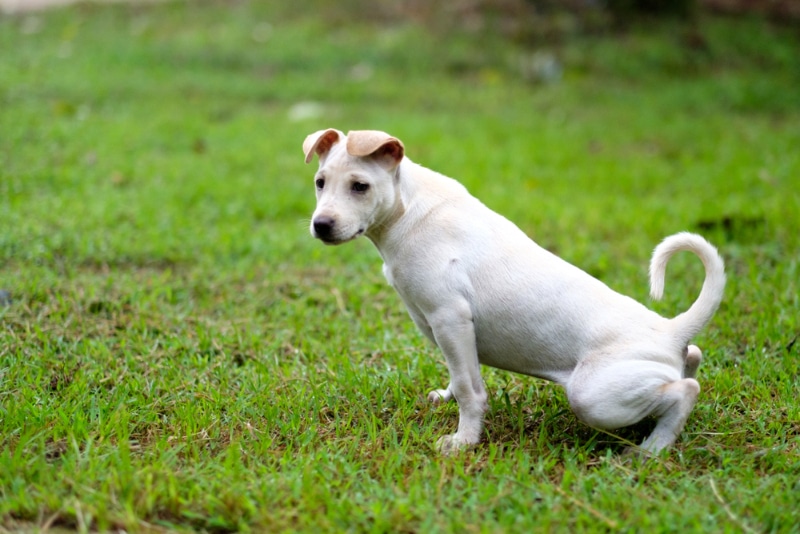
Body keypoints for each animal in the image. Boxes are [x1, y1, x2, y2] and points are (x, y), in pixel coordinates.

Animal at [302, 129, 724, 456]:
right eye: (320, 182)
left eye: (360, 186)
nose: (321, 225)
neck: (406, 209)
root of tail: (671, 331)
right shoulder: (446, 330)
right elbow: (460, 376)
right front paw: (446, 399)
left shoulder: (450, 319)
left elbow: (470, 390)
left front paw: (463, 441)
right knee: (692, 358)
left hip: (594, 397)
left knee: (686, 390)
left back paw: (650, 450)